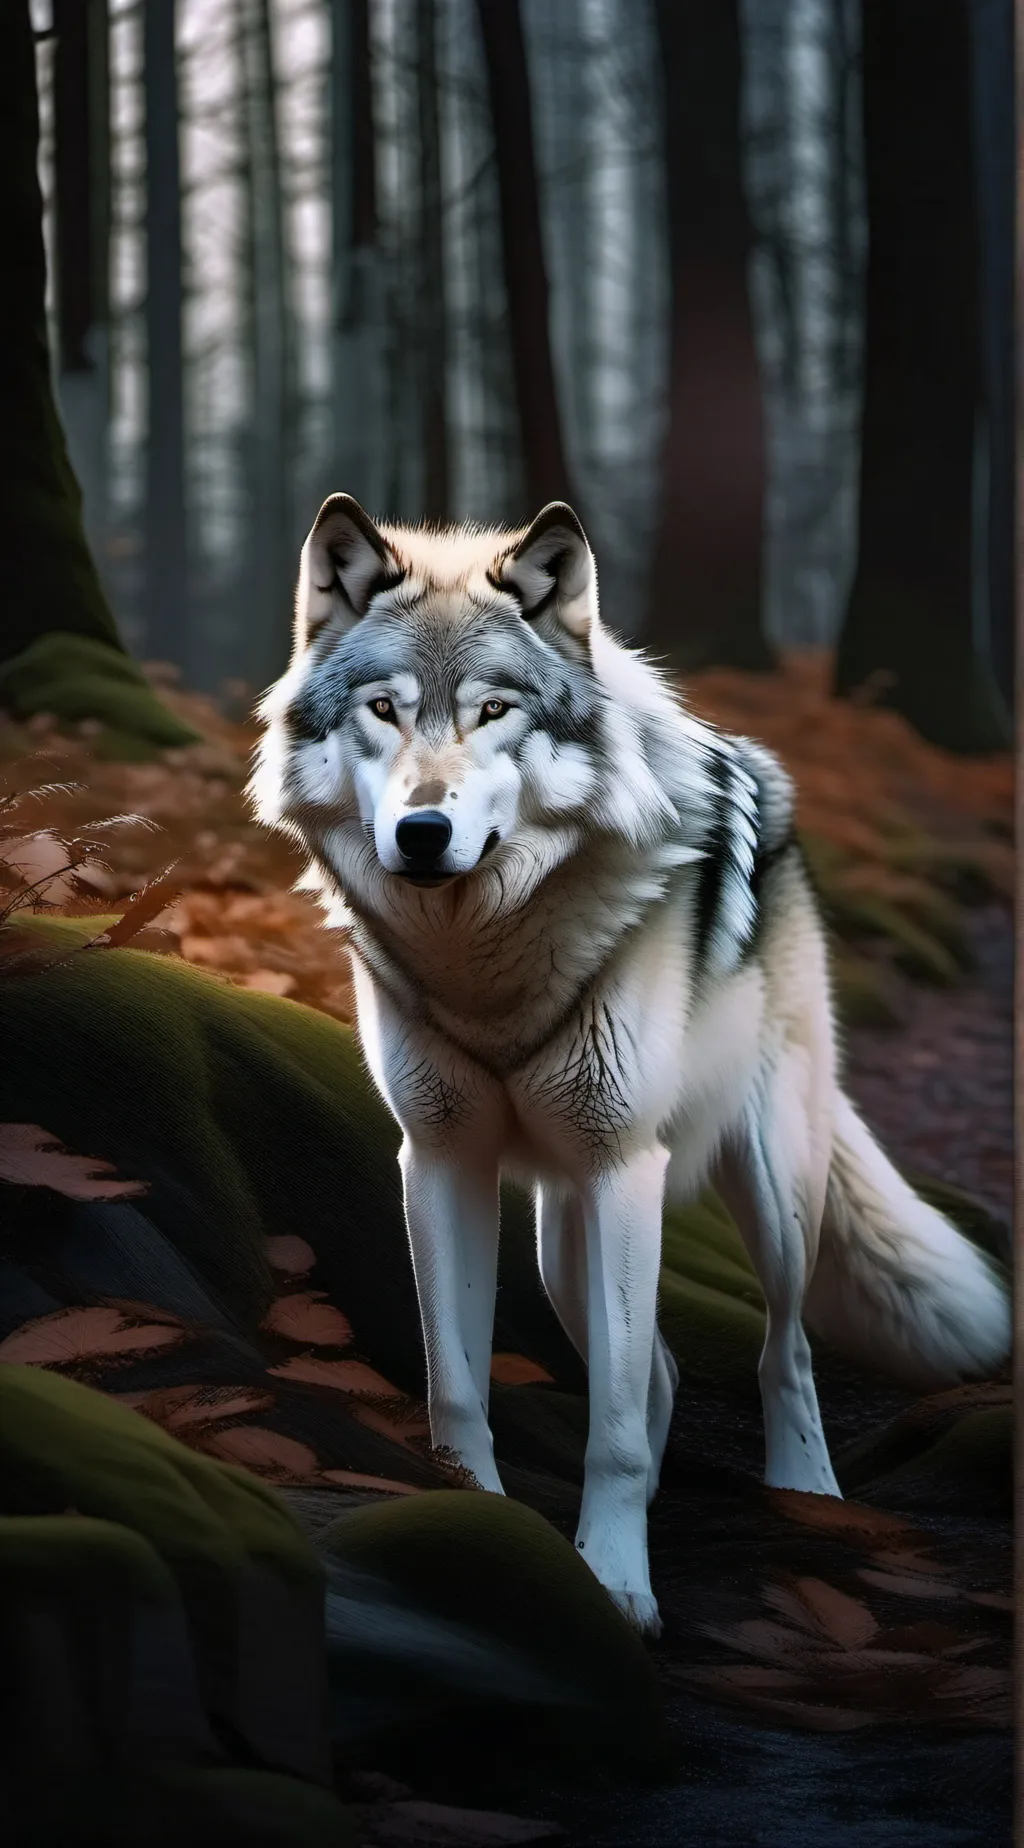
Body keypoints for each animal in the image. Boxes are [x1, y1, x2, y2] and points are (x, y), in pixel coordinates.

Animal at [251, 494, 1010, 1635]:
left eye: (493, 712)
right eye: (384, 710)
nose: (422, 832)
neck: (486, 959)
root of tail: (754, 771)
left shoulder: (623, 1168)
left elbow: (608, 1421)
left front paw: (615, 1582)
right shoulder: (440, 1163)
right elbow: (459, 1387)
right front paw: (488, 1528)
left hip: (763, 1185)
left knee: (782, 1351)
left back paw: (805, 1491)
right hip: (564, 1235)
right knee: (656, 1364)